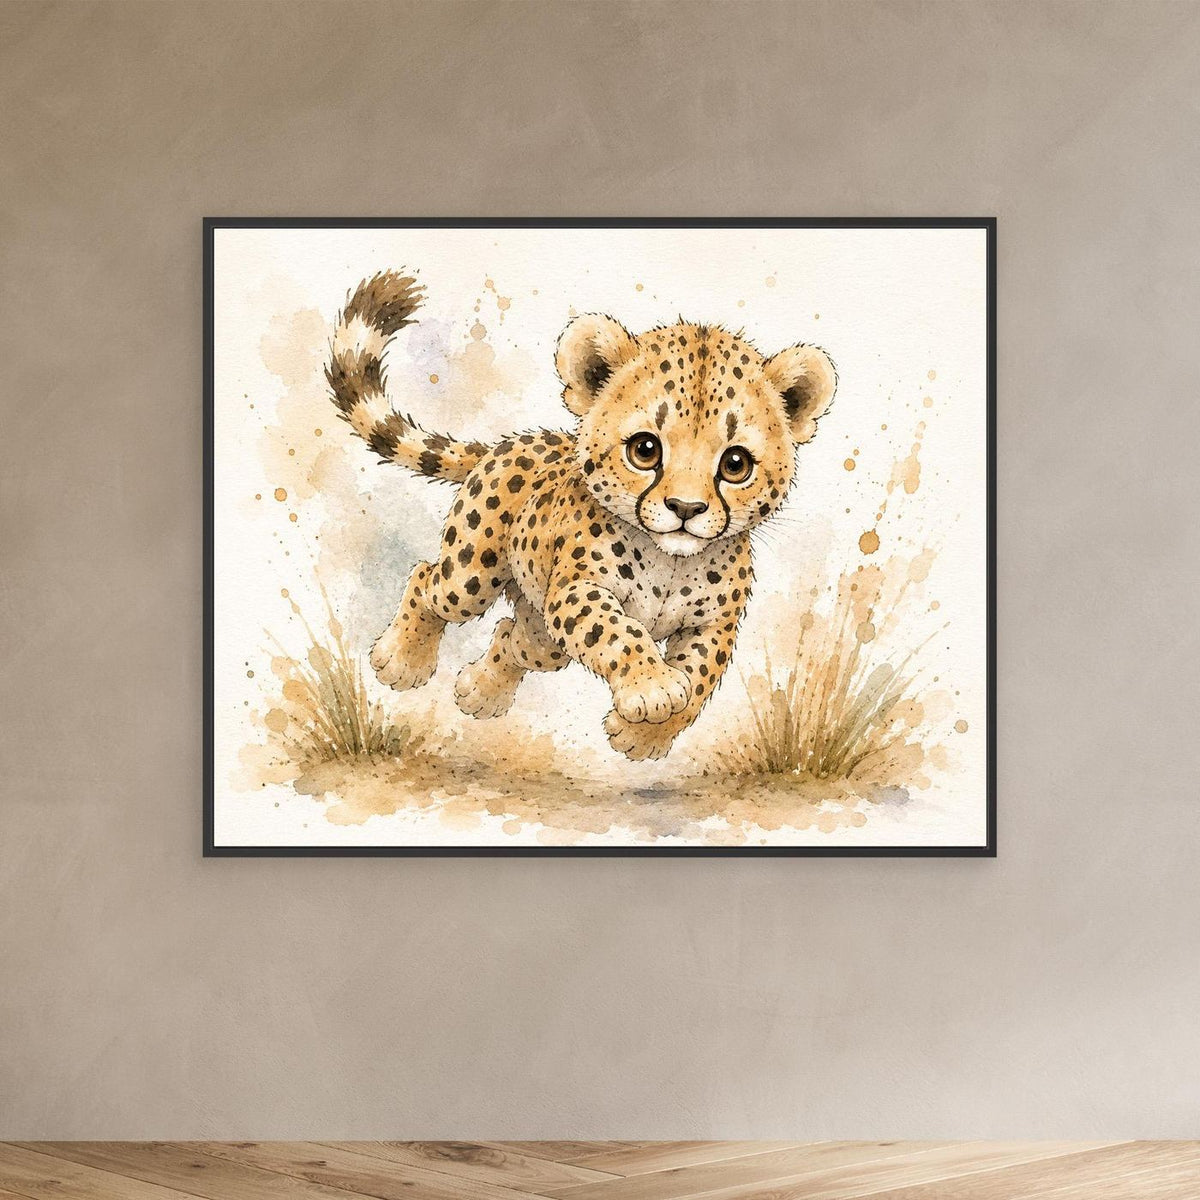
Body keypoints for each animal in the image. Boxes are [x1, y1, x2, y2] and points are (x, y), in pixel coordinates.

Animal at [325, 269, 837, 760]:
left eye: (735, 464)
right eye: (645, 450)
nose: (686, 509)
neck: (671, 561)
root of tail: (512, 443)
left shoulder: (715, 625)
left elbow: (700, 676)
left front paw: (644, 735)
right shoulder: (578, 589)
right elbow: (615, 629)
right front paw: (652, 687)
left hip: (544, 634)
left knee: (514, 637)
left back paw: (481, 692)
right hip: (470, 576)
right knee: (428, 580)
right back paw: (400, 659)